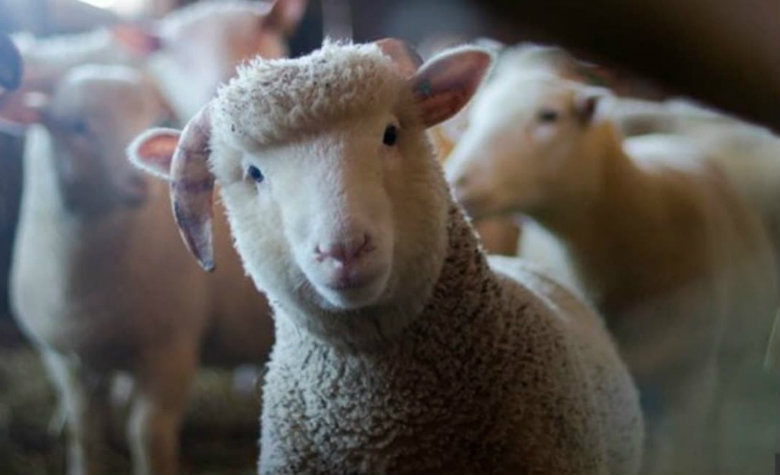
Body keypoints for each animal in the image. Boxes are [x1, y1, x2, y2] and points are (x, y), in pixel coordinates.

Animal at [0, 64, 274, 475]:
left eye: (151, 118)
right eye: (77, 126)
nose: (139, 182)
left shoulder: (171, 349)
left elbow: (147, 432)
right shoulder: (65, 360)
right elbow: (84, 431)